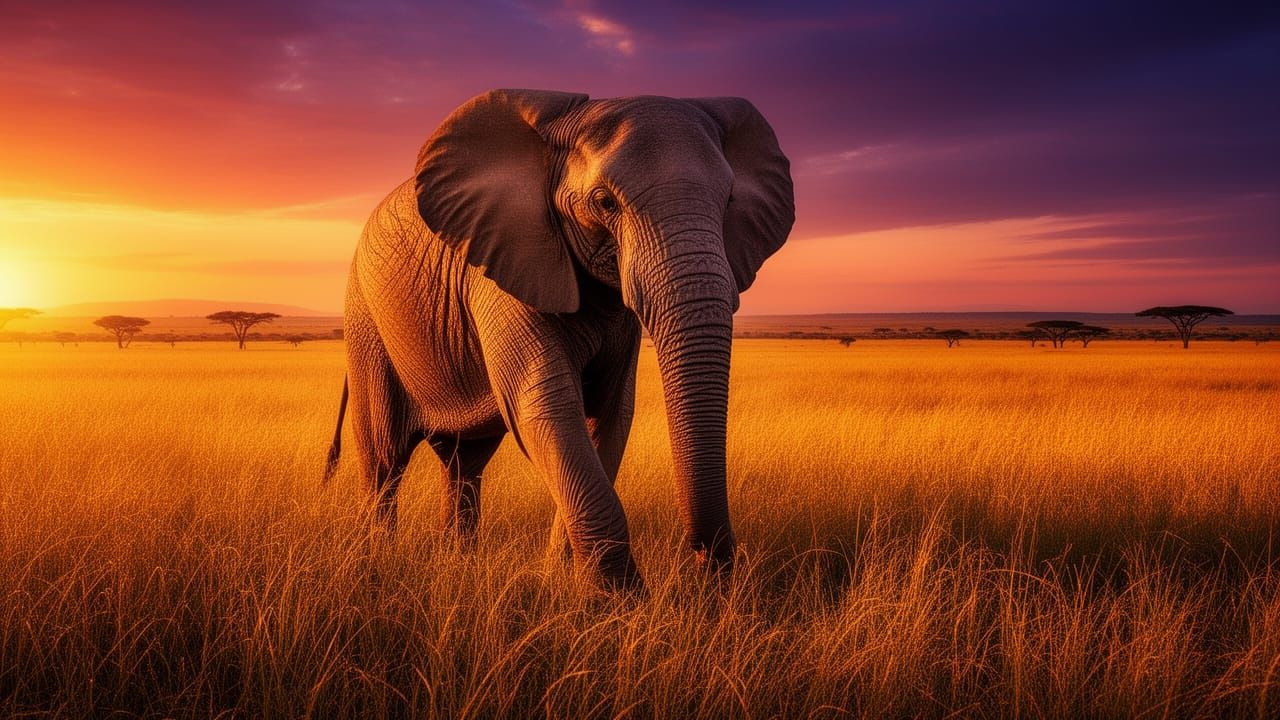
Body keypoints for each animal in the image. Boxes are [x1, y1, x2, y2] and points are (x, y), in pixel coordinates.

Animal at [323, 89, 794, 589]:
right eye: (605, 203)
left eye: (729, 201)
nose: (707, 562)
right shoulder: (504, 265)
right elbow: (546, 408)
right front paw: (621, 599)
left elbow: (610, 414)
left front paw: (561, 580)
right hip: (366, 322)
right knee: (384, 461)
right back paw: (377, 565)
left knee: (464, 463)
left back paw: (457, 560)